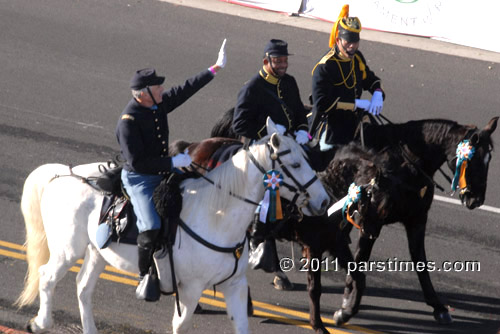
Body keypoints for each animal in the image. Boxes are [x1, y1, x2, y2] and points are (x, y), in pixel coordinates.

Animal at [15, 120, 330, 334]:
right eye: (295, 163)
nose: (324, 200)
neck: (217, 215)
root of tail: (61, 174)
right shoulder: (190, 288)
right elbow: (181, 325)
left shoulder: (235, 286)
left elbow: (241, 326)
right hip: (67, 250)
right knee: (47, 277)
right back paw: (39, 323)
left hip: (97, 252)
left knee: (83, 288)